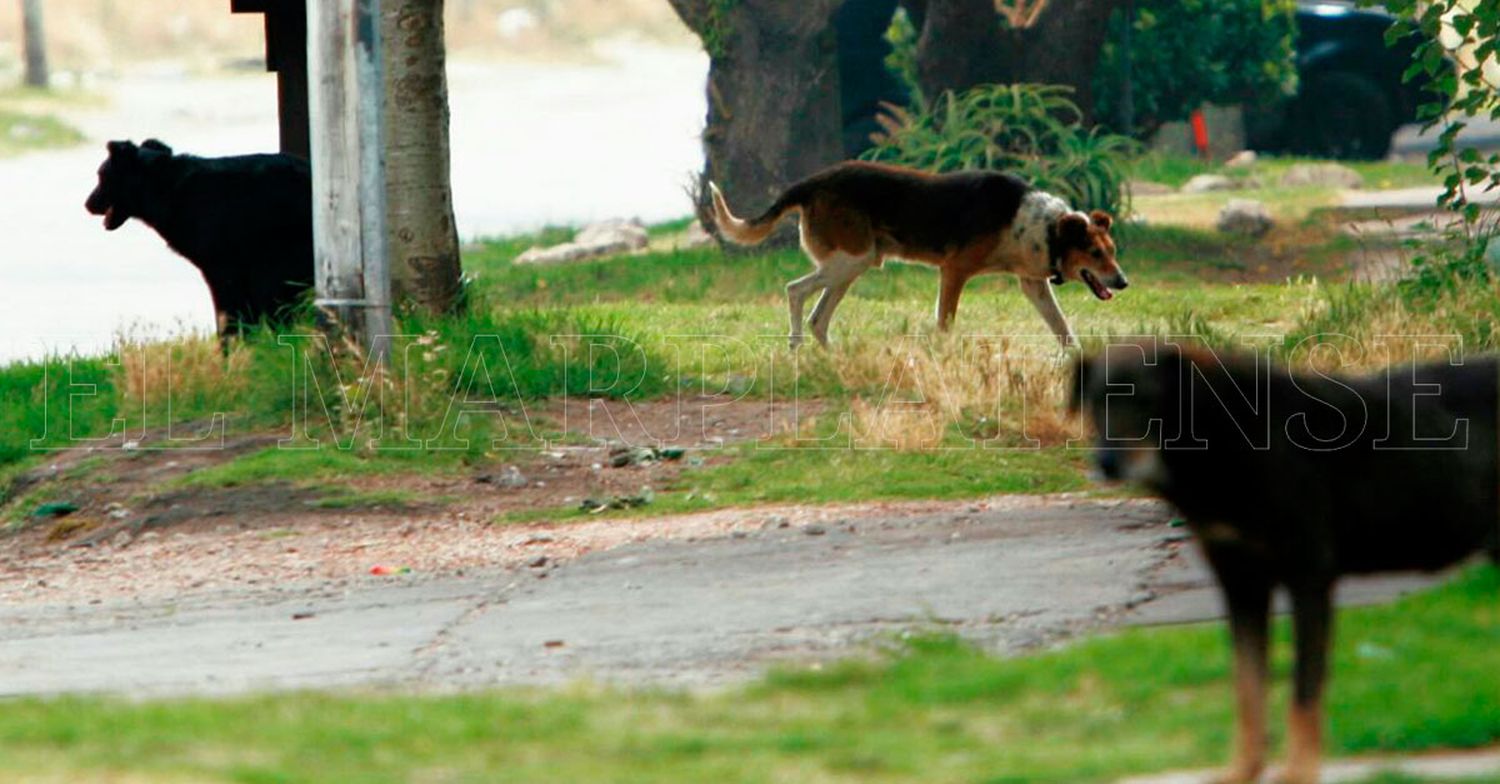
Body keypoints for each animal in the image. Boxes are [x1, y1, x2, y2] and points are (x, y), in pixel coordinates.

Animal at [711, 161, 1128, 347]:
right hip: (850, 260)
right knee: (795, 291)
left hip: (850, 267)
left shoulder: (1033, 284)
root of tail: (812, 182)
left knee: (819, 319)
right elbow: (945, 323)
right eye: (1094, 252)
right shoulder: (954, 271)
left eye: (1112, 251)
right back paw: (796, 345)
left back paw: (833, 357)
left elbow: (1063, 330)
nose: (1123, 282)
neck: (1044, 227)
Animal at [1074, 343, 1494, 784]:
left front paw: (1299, 771)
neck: (1228, 436)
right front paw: (1243, 770)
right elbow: (1247, 687)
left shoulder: (1308, 576)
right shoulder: (1241, 585)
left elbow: (1304, 688)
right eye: (1096, 402)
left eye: (1147, 400)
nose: (1105, 462)